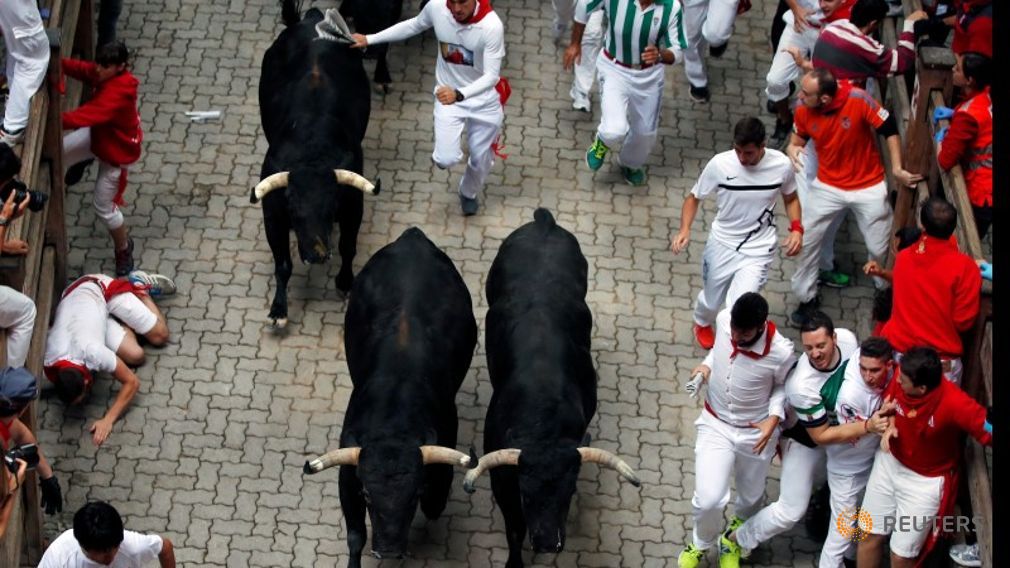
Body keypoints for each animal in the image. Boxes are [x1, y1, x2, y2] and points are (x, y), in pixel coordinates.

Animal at [252, 0, 379, 325]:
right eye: (294, 211)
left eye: (331, 207)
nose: (317, 254)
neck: (311, 148)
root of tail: (311, 18)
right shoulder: (273, 215)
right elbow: (282, 263)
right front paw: (279, 310)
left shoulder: (353, 207)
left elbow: (348, 246)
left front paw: (345, 283)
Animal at [300, 226, 474, 565]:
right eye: (368, 494)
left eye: (414, 494)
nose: (389, 549)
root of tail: (412, 237)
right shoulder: (349, 475)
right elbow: (355, 535)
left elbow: (435, 503)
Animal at [462, 208, 642, 565]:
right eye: (526, 493)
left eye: (568, 491)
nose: (547, 542)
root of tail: (543, 222)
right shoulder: (503, 483)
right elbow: (514, 529)